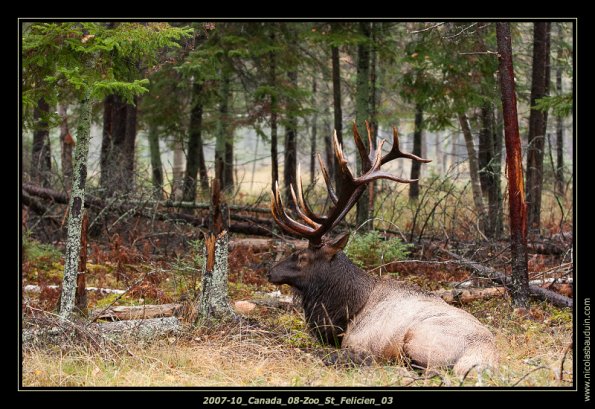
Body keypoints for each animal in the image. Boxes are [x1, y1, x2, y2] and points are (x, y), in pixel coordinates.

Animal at [268, 121, 498, 376]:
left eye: (301, 256)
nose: (270, 272)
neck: (345, 313)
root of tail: (484, 357)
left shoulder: (359, 342)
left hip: (420, 339)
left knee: (428, 371)